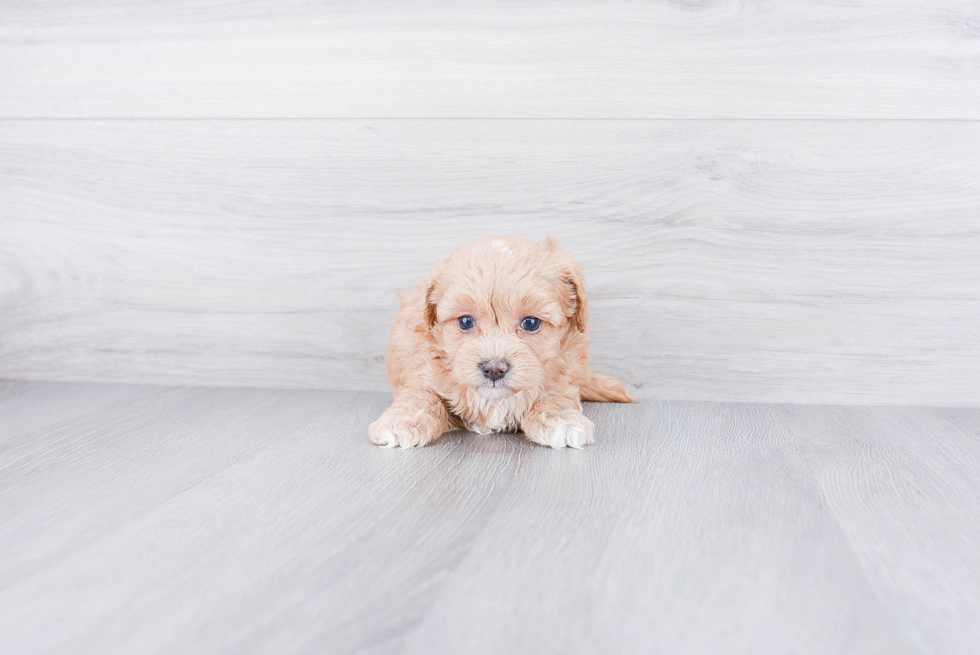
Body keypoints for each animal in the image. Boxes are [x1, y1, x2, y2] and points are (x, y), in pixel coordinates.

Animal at [368, 237, 636, 452]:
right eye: (465, 321)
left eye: (531, 323)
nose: (494, 368)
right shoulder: (420, 368)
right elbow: (419, 395)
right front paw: (402, 421)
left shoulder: (563, 370)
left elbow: (554, 394)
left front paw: (561, 419)